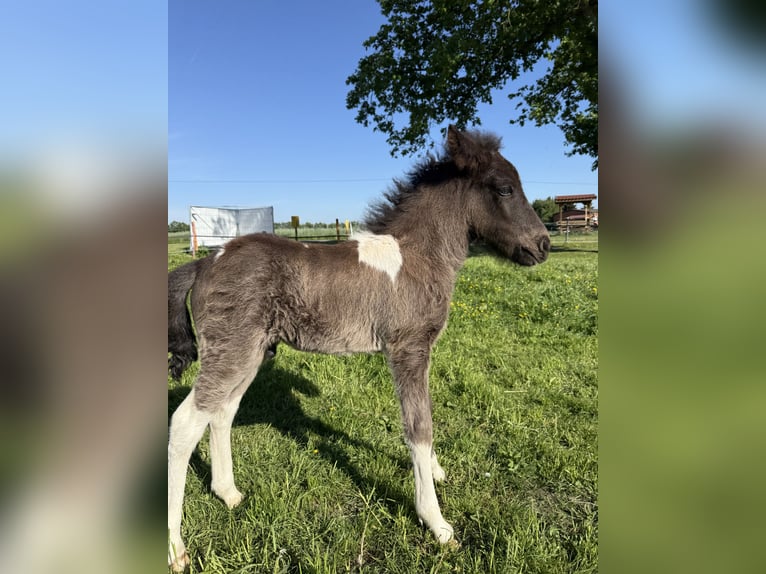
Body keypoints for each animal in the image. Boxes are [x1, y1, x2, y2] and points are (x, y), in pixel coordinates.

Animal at [167, 126, 550, 570]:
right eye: (505, 188)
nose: (543, 245)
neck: (416, 256)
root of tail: (205, 263)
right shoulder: (407, 349)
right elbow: (419, 426)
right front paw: (436, 522)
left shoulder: (421, 351)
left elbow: (425, 415)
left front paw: (436, 472)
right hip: (232, 350)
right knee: (185, 422)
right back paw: (176, 548)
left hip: (251, 352)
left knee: (222, 413)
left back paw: (227, 493)